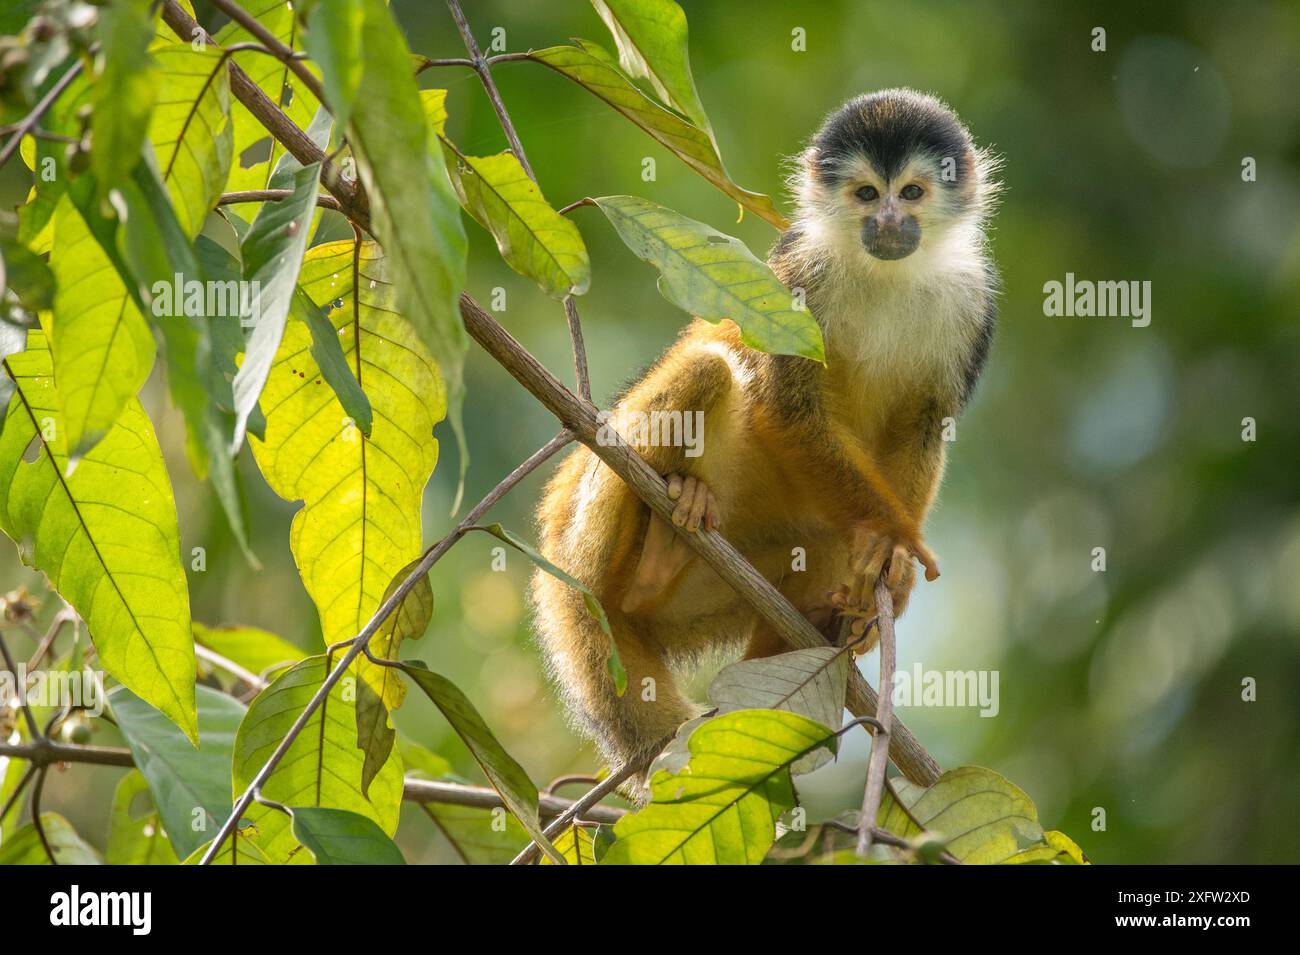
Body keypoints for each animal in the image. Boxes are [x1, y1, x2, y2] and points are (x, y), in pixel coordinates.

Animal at [533, 87, 998, 779]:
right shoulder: (800, 274)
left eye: (911, 193)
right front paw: (894, 539)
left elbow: (926, 421)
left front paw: (889, 573)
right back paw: (652, 550)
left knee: (823, 542)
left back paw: (818, 624)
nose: (889, 223)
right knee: (708, 367)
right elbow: (786, 403)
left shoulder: (975, 302)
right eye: (867, 194)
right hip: (587, 529)